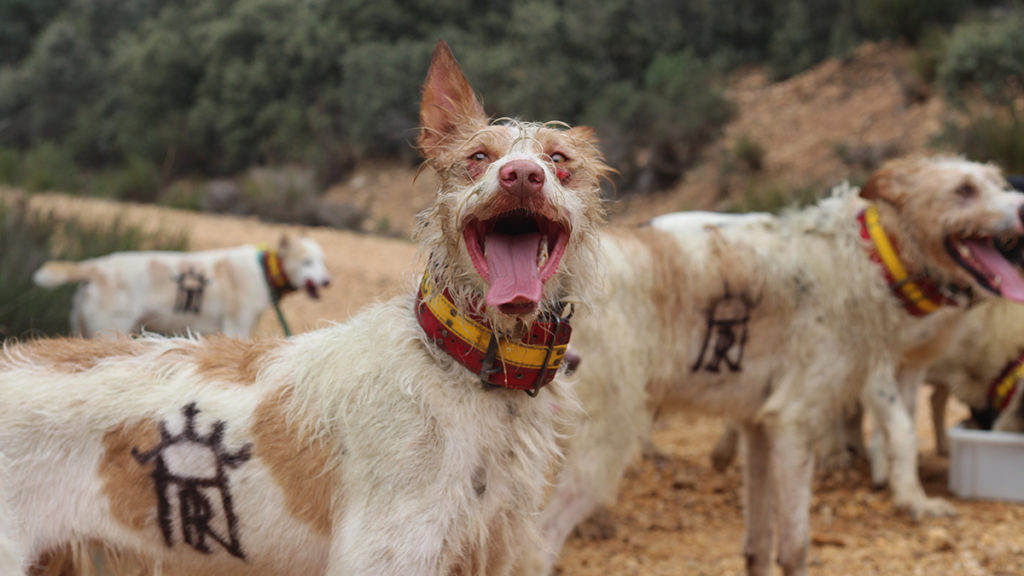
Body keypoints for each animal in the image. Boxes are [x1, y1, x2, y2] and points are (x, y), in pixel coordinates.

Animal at [33, 234, 331, 336]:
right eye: (307, 262)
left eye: (322, 261)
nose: (328, 281)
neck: (263, 269)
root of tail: (93, 267)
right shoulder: (236, 329)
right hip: (109, 333)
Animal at [540, 156, 1024, 573]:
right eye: (964, 189)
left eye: (999, 183)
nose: (1022, 206)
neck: (859, 258)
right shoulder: (796, 423)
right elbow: (797, 546)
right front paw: (913, 500)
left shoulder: (761, 428)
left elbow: (759, 546)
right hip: (598, 449)